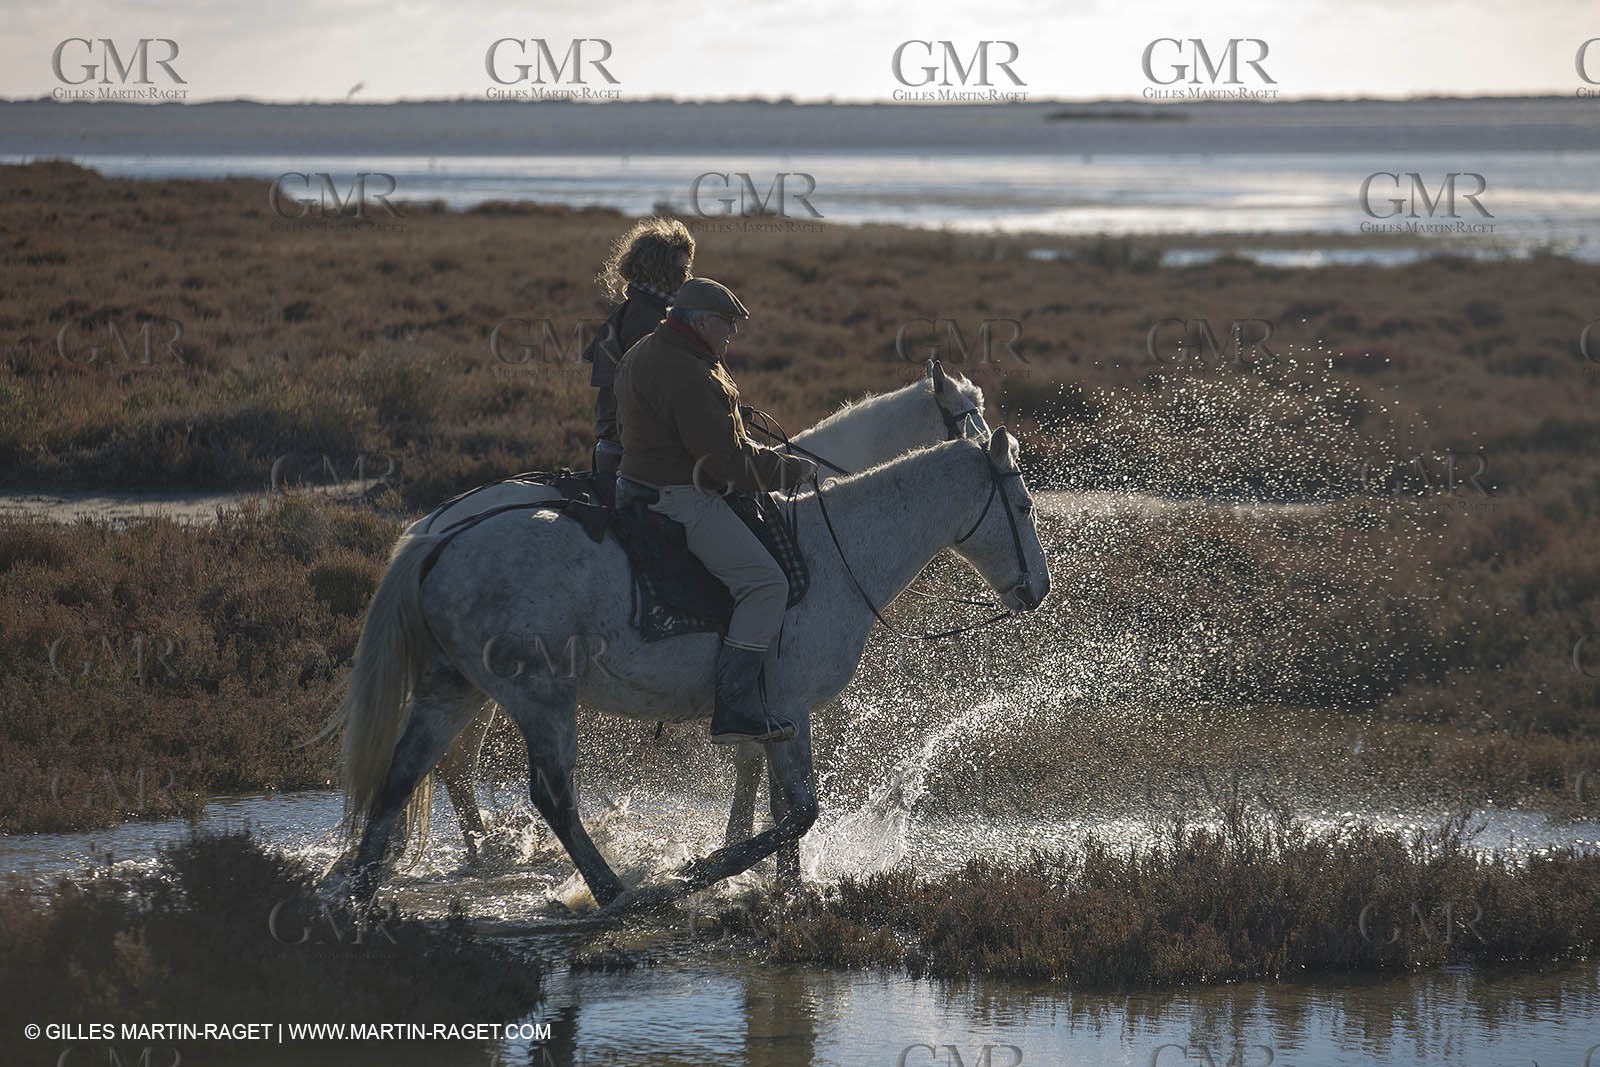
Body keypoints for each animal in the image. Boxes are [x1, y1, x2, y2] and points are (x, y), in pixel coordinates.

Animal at [330, 427, 1050, 910]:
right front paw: (703, 870)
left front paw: (787, 887)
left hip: (450, 691)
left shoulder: (774, 714)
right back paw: (613, 891)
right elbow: (799, 810)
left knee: (403, 774)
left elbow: (780, 802)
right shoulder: (788, 707)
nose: (1037, 589)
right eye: (1022, 506)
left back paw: (364, 885)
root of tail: (440, 538)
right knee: (550, 795)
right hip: (539, 697)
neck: (839, 550)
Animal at [419, 361, 991, 864]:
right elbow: (752, 758)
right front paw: (745, 844)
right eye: (969, 417)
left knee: (453, 761)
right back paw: (487, 848)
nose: (995, 454)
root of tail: (438, 525)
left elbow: (753, 758)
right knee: (460, 763)